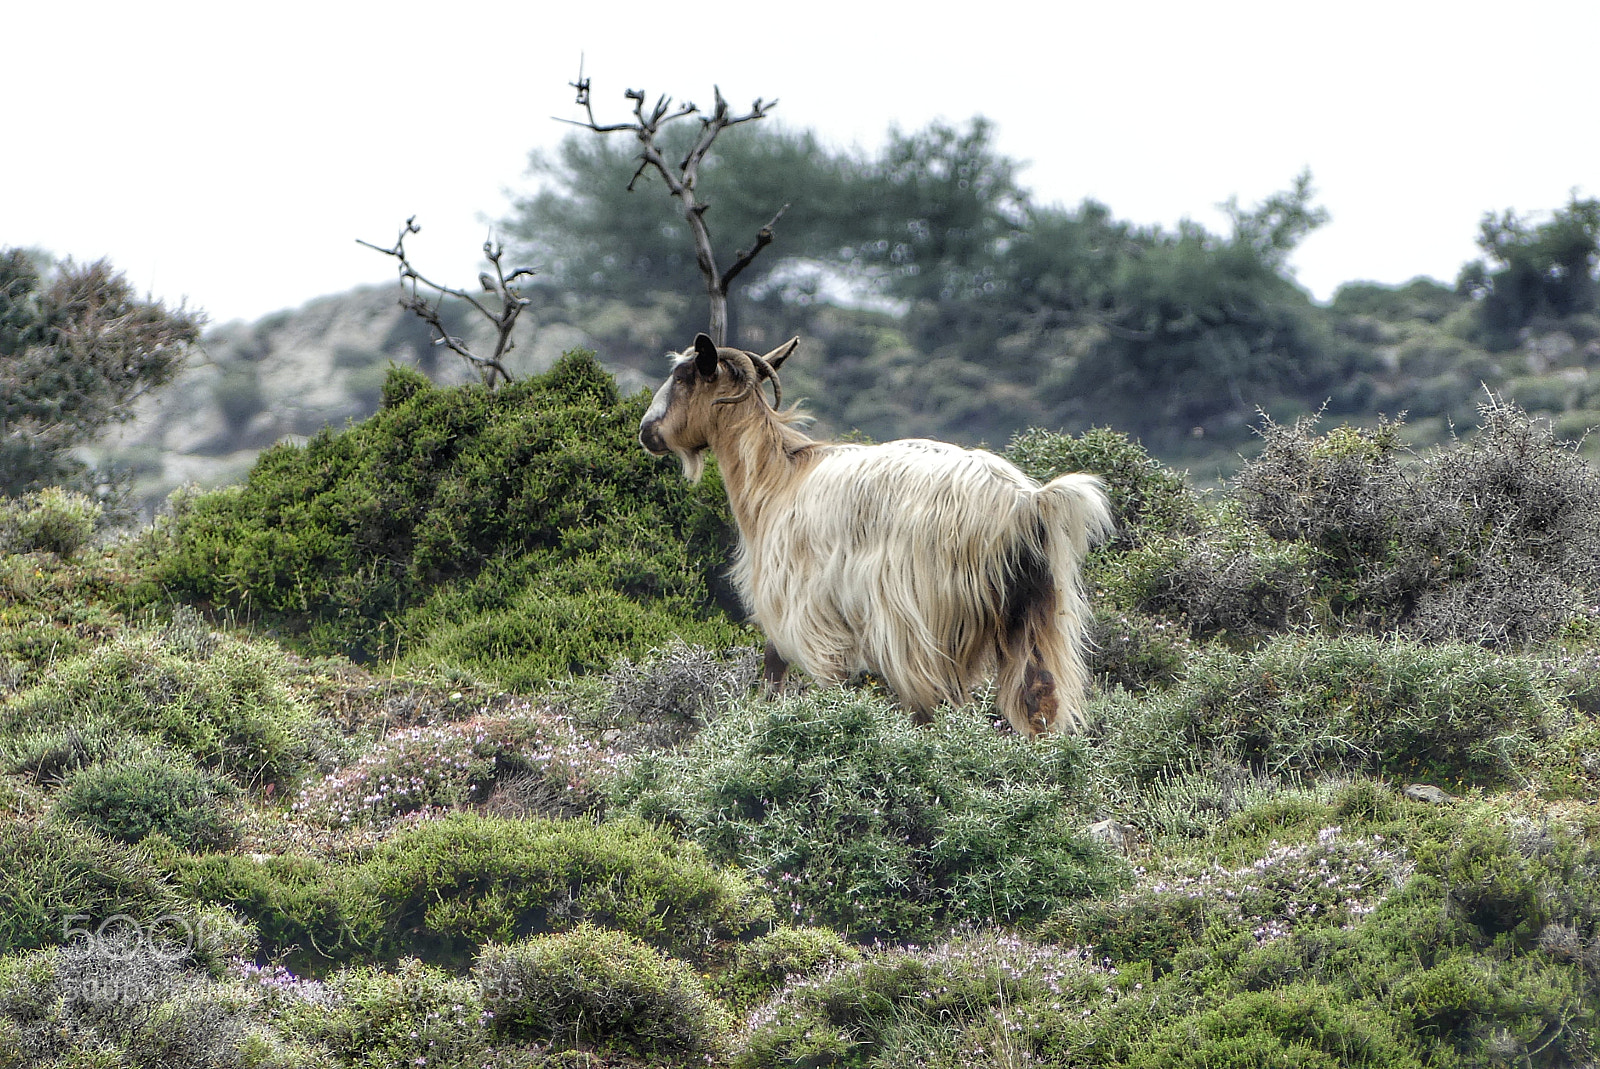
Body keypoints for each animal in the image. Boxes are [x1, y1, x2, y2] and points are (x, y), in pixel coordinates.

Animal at [639, 333, 1114, 735]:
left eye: (681, 377)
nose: (647, 431)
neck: (777, 478)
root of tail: (1025, 504)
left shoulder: (806, 611)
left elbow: (792, 676)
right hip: (1035, 615)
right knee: (1039, 699)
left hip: (919, 618)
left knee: (932, 704)